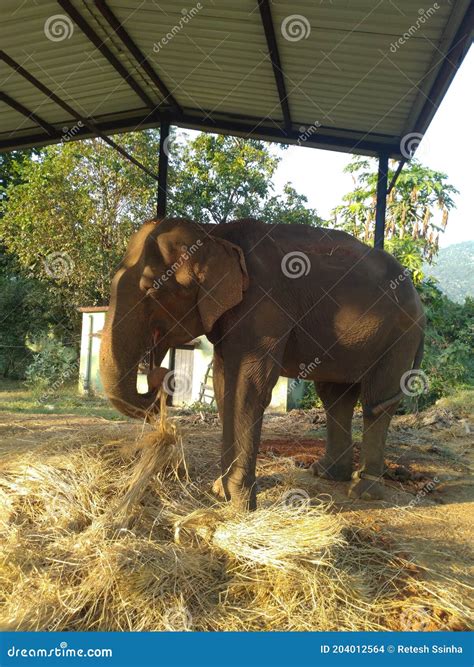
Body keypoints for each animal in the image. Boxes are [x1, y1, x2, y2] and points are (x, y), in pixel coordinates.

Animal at [100, 217, 426, 508]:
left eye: (152, 289)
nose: (159, 373)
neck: (214, 232)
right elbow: (224, 386)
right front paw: (220, 491)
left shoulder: (264, 307)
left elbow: (248, 387)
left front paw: (241, 502)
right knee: (335, 398)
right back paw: (327, 473)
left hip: (399, 337)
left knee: (376, 402)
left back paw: (363, 490)